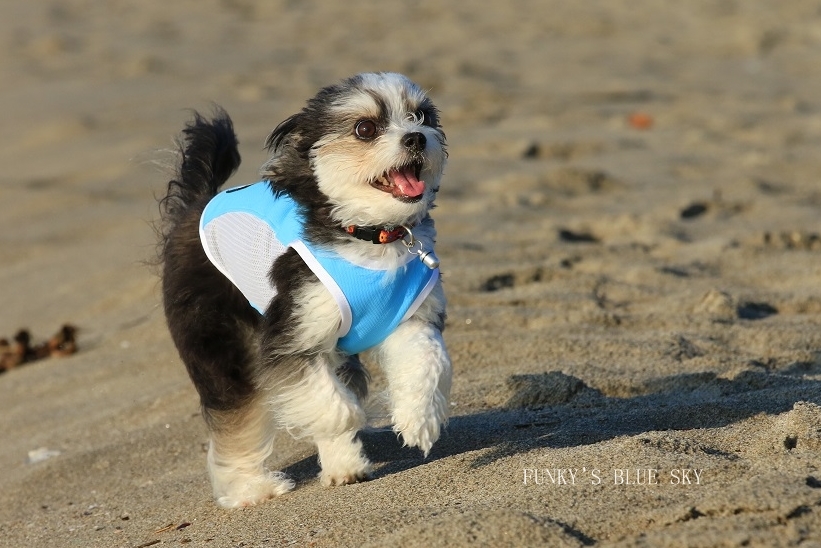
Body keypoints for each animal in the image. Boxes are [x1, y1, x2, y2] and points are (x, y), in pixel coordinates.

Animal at [157, 74, 452, 510]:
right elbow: (334, 407)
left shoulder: (409, 319)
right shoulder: (293, 336)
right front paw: (352, 426)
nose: (416, 137)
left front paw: (419, 421)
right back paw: (252, 489)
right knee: (237, 417)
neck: (368, 237)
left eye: (422, 116)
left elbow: (425, 363)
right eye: (365, 128)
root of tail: (196, 205)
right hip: (221, 345)